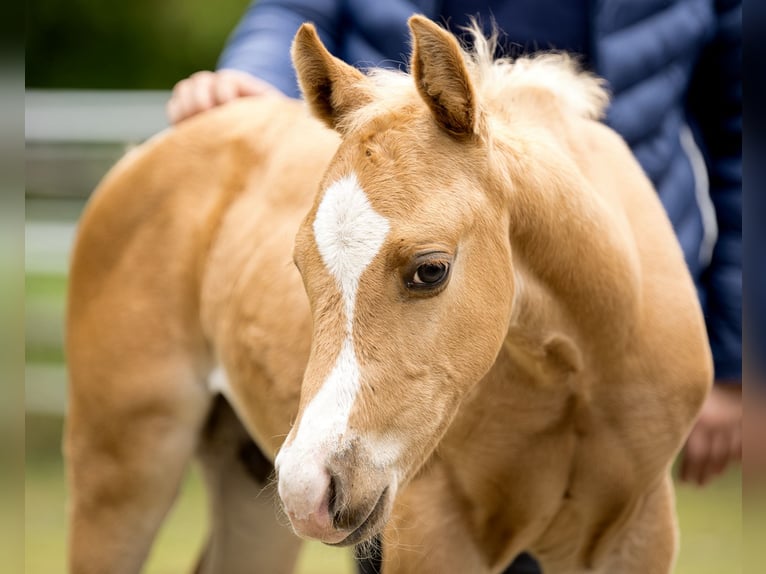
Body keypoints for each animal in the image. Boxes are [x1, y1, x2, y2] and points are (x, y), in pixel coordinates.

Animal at [65, 15, 712, 574]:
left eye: (430, 270)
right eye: (300, 266)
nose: (308, 488)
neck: (579, 368)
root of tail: (139, 157)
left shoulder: (637, 535)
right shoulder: (433, 533)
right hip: (122, 472)